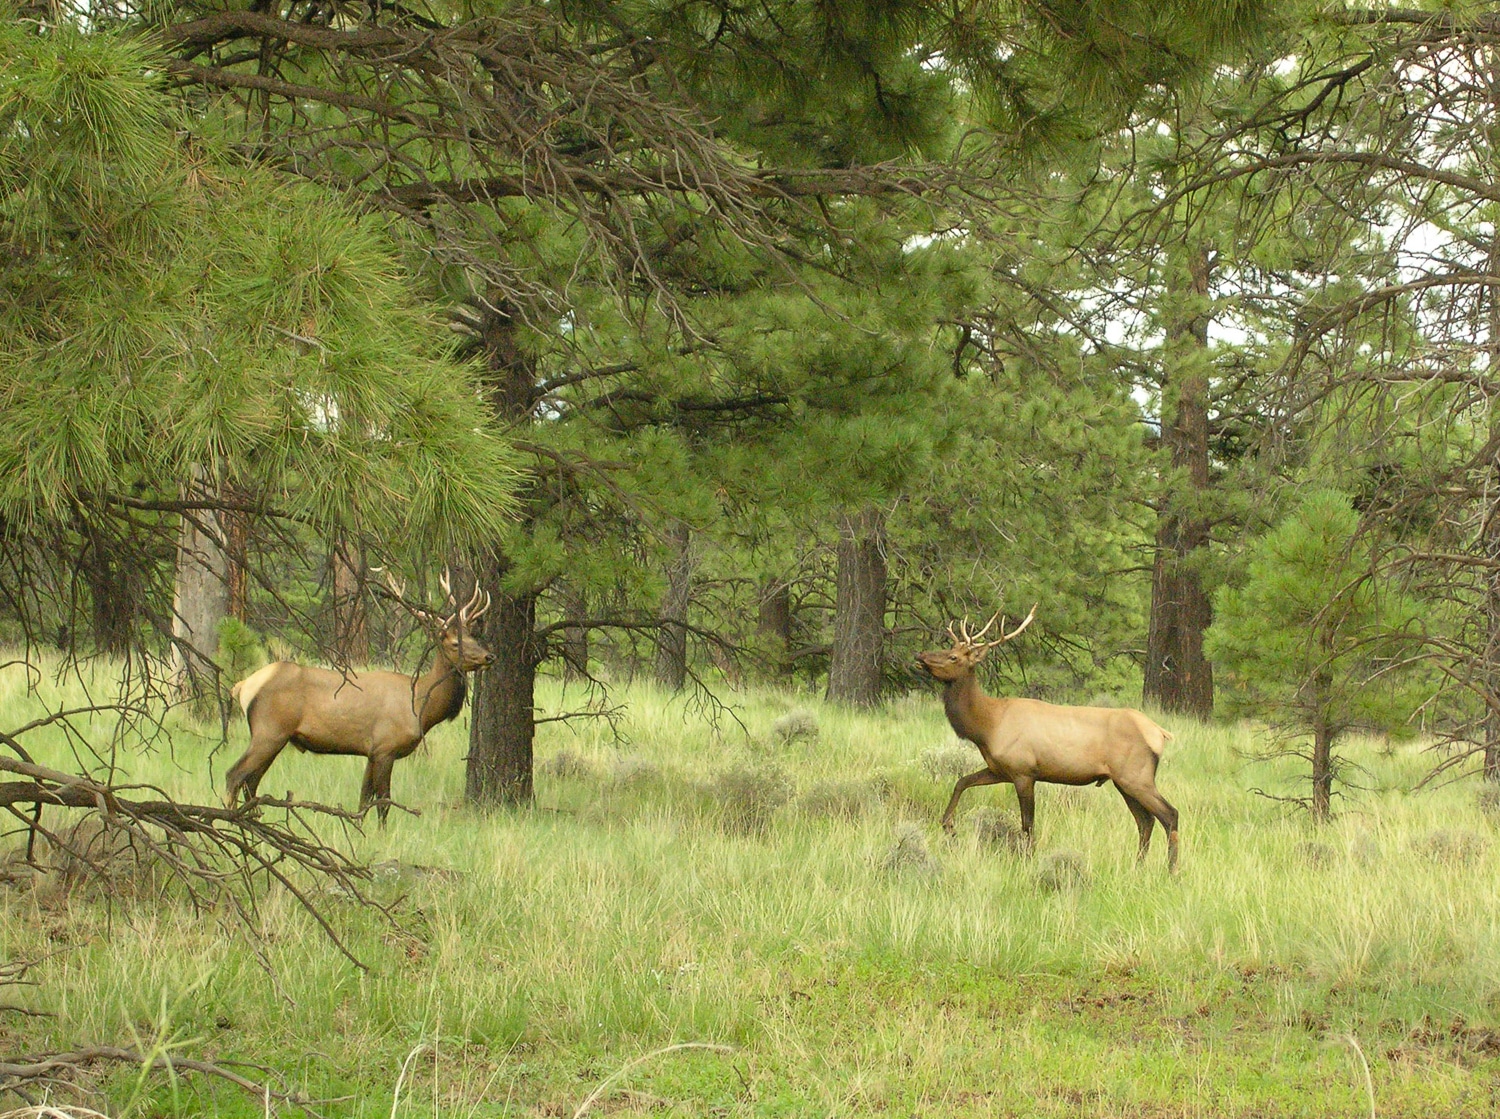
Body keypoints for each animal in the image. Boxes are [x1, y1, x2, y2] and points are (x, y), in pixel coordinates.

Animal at [225, 576, 492, 822]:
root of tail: (242, 686)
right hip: (269, 731)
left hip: (275, 737)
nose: (489, 656)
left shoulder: (371, 752)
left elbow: (364, 799)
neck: (421, 707)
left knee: (251, 783)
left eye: (473, 637)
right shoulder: (385, 747)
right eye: (455, 643)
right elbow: (383, 802)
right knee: (234, 776)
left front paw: (360, 829)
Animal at [912, 606, 1182, 870]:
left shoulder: (1024, 771)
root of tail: (1160, 733)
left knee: (1169, 815)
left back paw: (1171, 870)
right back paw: (1138, 866)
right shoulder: (1000, 769)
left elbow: (1027, 824)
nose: (920, 655)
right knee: (1145, 821)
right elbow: (962, 781)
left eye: (953, 657)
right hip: (1123, 780)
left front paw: (1028, 861)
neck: (987, 728)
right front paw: (948, 825)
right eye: (949, 648)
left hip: (1136, 776)